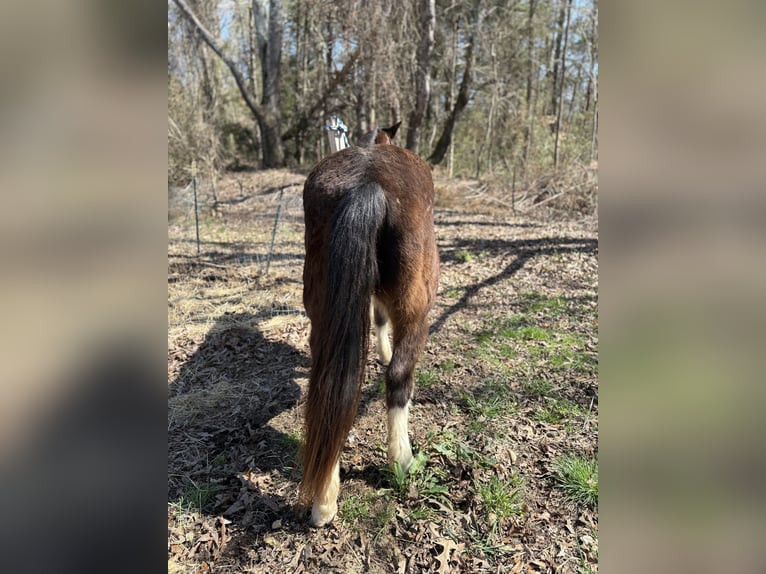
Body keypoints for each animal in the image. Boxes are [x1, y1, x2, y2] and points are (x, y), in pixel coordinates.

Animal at [304, 121, 440, 528]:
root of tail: (368, 184)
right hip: (417, 310)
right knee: (398, 379)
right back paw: (402, 461)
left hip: (322, 310)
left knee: (330, 390)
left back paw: (324, 500)